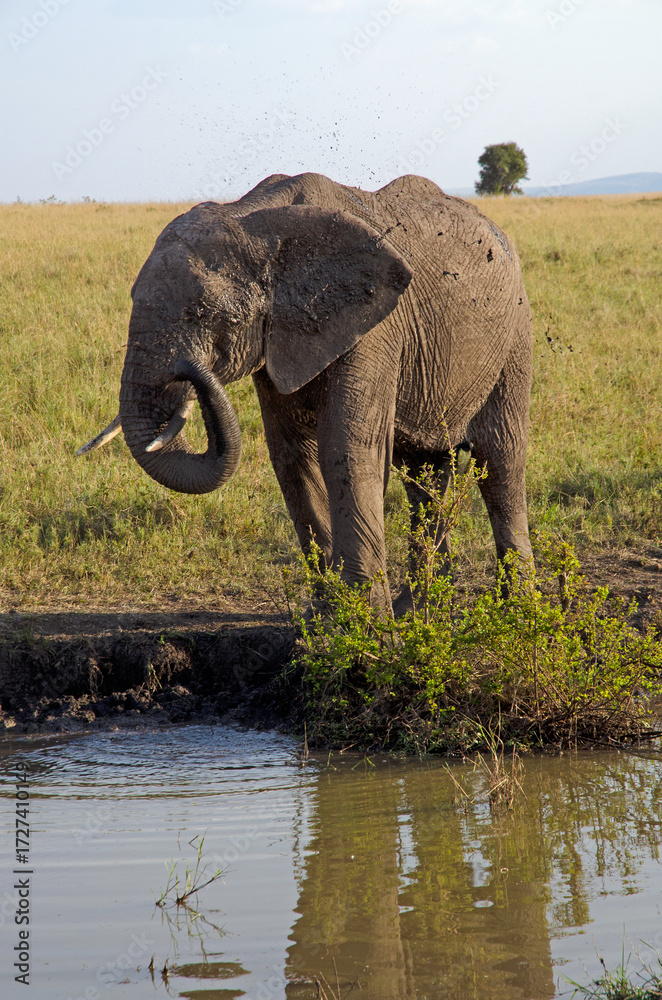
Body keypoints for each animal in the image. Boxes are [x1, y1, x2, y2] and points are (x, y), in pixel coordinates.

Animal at [78, 171, 534, 614]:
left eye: (202, 314)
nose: (188, 372)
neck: (253, 219)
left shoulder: (375, 328)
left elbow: (347, 448)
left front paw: (363, 621)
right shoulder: (278, 338)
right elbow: (292, 453)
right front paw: (325, 617)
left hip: (514, 335)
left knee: (500, 460)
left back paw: (516, 609)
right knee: (424, 471)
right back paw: (420, 610)